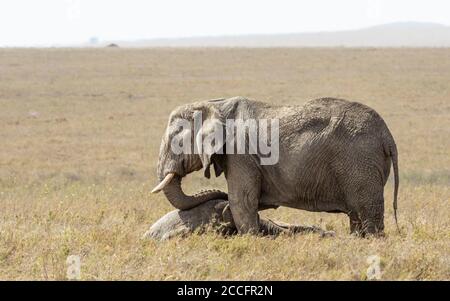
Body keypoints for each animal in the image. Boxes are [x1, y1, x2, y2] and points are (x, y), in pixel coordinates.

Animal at [153, 97, 400, 236]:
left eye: (175, 139)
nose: (220, 204)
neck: (214, 104)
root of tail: (387, 136)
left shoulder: (240, 154)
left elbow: (242, 201)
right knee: (357, 216)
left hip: (360, 163)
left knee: (368, 214)